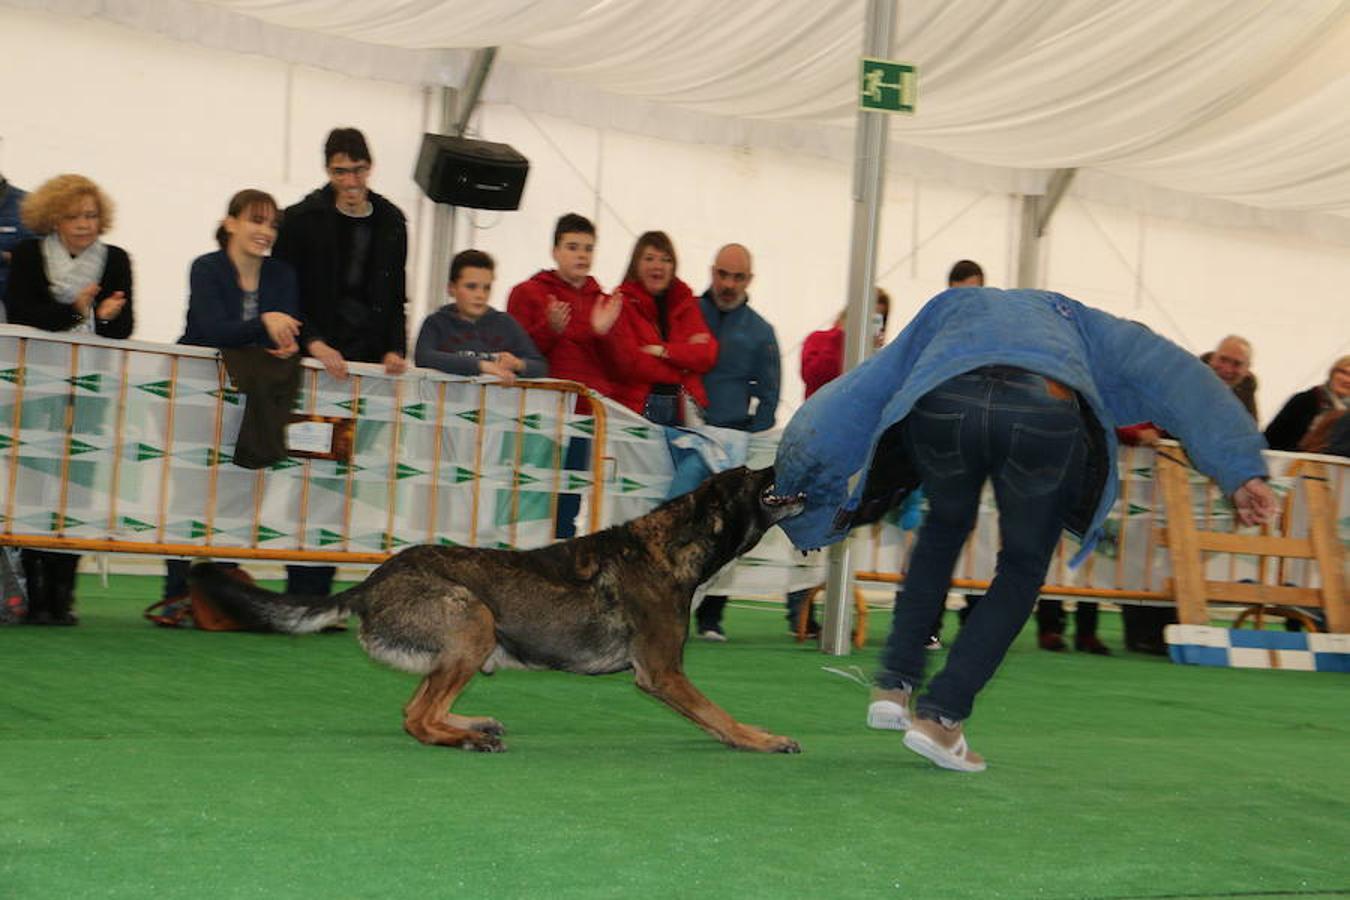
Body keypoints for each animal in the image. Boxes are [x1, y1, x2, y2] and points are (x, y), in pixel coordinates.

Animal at [190, 469, 799, 755]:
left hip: (462, 640)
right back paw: (467, 738)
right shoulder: (664, 674)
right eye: (752, 476)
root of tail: (370, 583)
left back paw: (471, 723)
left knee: (416, 709)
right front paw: (759, 741)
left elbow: (719, 716)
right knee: (418, 718)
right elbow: (717, 714)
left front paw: (756, 733)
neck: (674, 545)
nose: (782, 462)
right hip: (474, 620)